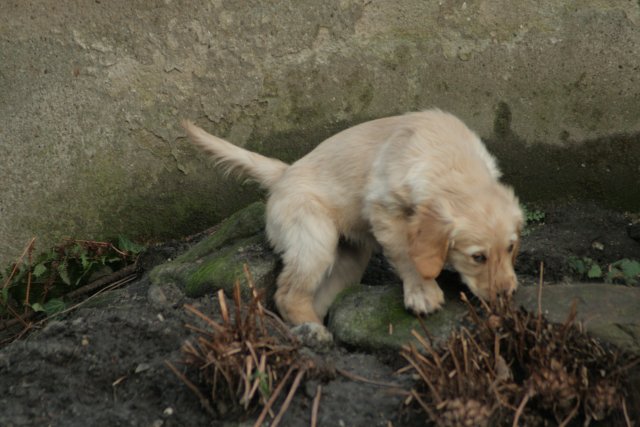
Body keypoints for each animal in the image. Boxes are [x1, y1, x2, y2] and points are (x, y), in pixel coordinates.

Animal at [183, 110, 523, 325]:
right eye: (477, 257)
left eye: (511, 248)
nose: (507, 295)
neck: (449, 159)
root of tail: (284, 172)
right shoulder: (384, 208)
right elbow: (407, 253)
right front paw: (423, 292)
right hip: (314, 236)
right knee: (288, 293)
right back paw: (314, 333)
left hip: (349, 260)